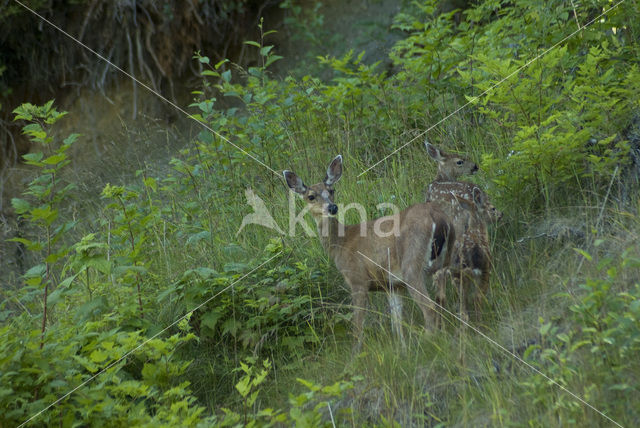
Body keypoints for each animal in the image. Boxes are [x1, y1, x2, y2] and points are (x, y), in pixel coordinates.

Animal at [282, 155, 456, 348]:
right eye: (311, 196)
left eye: (331, 190)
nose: (332, 207)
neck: (340, 243)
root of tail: (437, 217)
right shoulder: (392, 285)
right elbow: (397, 321)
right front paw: (402, 349)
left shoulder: (358, 279)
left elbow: (357, 326)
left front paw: (354, 355)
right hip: (444, 261)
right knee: (441, 301)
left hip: (412, 263)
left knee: (430, 307)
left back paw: (427, 342)